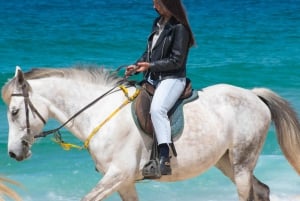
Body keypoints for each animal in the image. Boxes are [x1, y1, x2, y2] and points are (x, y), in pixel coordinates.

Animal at [1, 65, 300, 199]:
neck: (100, 113)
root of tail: (253, 96)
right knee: (261, 189)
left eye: (14, 112)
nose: (13, 153)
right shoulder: (124, 182)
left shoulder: (117, 175)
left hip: (241, 164)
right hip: (226, 162)